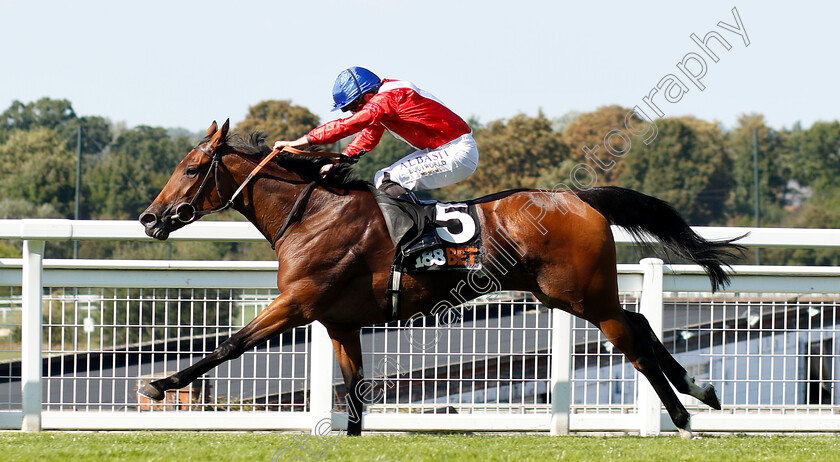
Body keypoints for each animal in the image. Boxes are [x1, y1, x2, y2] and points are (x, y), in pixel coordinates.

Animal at [138, 119, 740, 436]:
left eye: (192, 168)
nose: (149, 217)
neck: (312, 214)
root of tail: (579, 198)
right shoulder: (339, 323)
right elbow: (353, 388)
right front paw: (351, 434)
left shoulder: (297, 303)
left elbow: (230, 344)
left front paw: (160, 383)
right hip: (569, 295)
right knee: (641, 322)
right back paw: (701, 389)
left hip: (583, 295)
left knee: (634, 341)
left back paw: (682, 414)